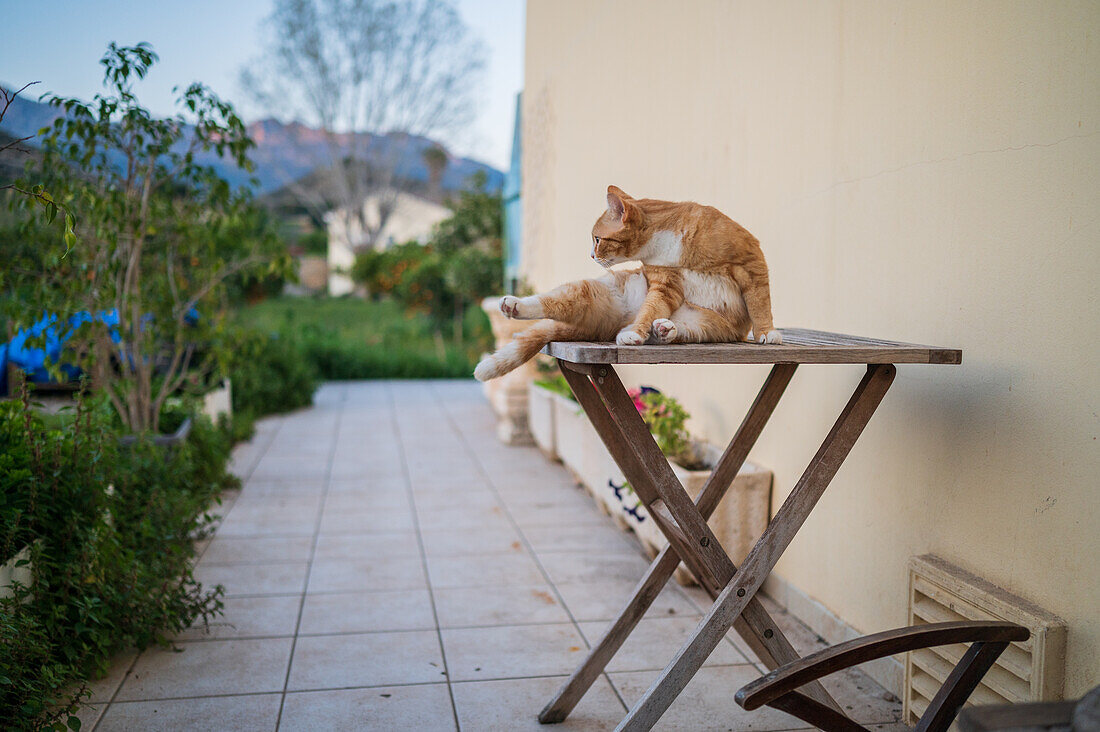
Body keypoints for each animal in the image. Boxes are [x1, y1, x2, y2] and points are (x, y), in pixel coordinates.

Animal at [470, 186, 774, 378]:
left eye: (597, 239)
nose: (591, 255)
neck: (668, 244)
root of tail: (613, 322)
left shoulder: (752, 263)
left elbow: (761, 303)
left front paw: (766, 333)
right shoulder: (664, 285)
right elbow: (650, 308)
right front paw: (636, 333)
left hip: (706, 324)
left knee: (685, 331)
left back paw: (664, 330)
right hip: (586, 292)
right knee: (549, 302)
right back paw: (514, 305)